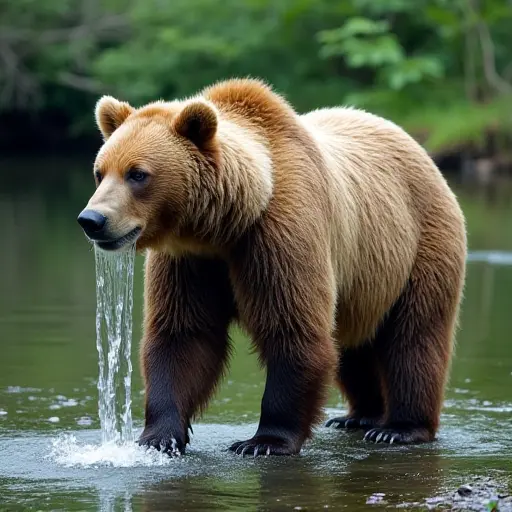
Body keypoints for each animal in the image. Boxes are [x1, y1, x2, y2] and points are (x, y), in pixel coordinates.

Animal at [78, 79, 466, 456]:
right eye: (100, 172)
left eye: (137, 174)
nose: (92, 219)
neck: (223, 227)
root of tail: (414, 143)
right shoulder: (189, 261)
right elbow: (183, 335)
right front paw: (159, 437)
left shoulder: (280, 234)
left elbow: (292, 330)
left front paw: (264, 441)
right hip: (365, 279)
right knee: (355, 342)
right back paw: (358, 416)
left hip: (419, 245)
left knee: (414, 337)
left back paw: (398, 428)